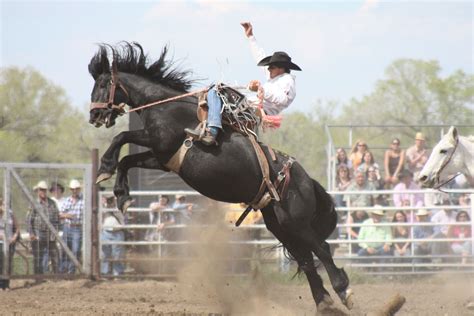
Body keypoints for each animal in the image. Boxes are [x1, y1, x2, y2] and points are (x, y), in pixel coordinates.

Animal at [89, 42, 354, 312]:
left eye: (102, 85)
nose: (94, 117)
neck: (165, 106)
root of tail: (307, 180)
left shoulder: (158, 140)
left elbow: (121, 137)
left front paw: (104, 168)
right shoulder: (162, 158)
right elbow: (126, 160)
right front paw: (121, 196)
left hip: (296, 221)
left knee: (321, 248)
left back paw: (344, 291)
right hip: (280, 223)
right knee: (305, 258)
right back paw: (324, 302)